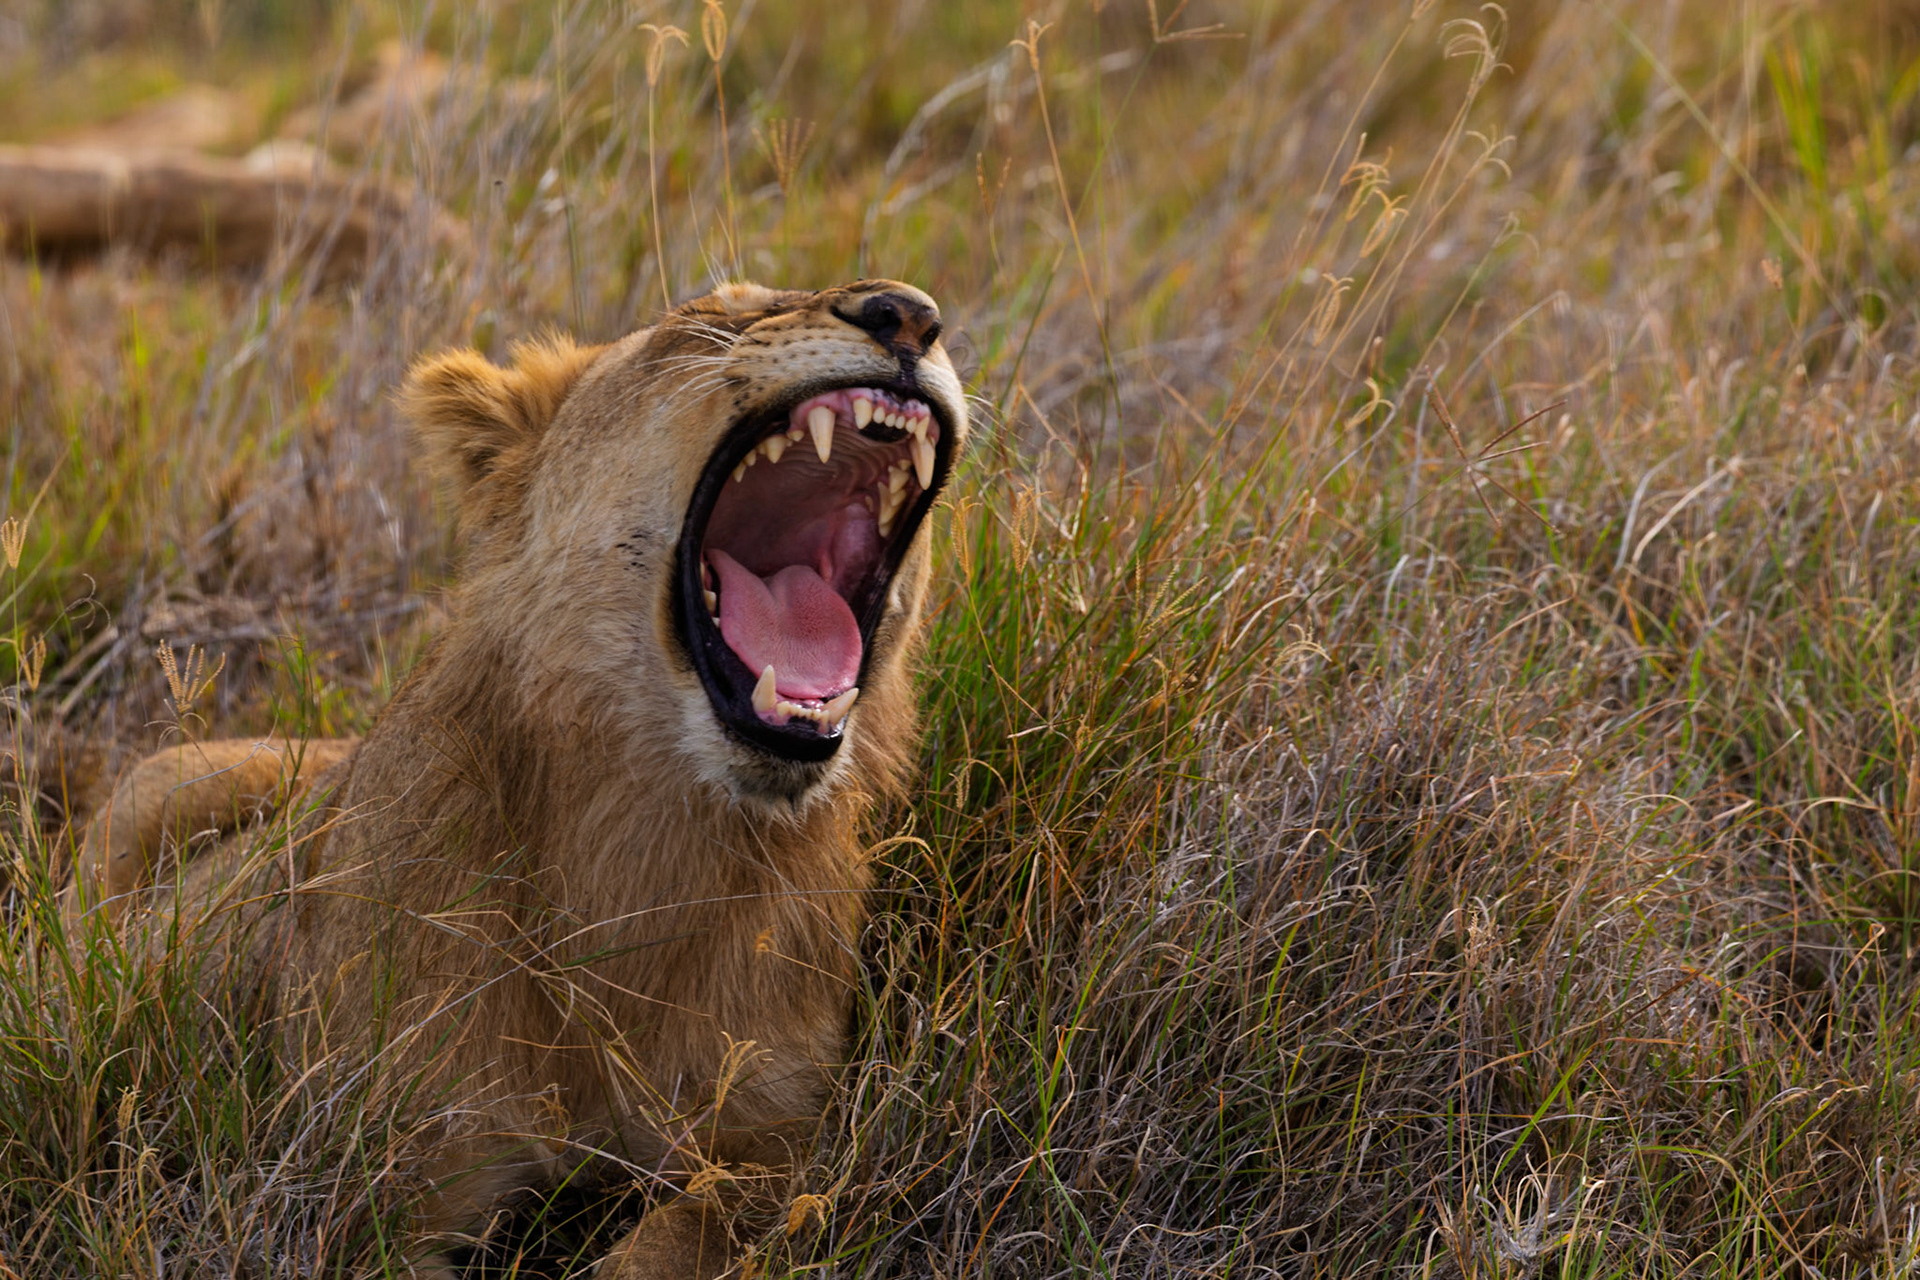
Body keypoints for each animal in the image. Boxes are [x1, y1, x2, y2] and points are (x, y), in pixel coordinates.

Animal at [67, 280, 968, 1278]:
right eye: (710, 319)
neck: (648, 848)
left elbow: (696, 1232)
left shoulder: (781, 1138)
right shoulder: (367, 1184)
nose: (907, 313)